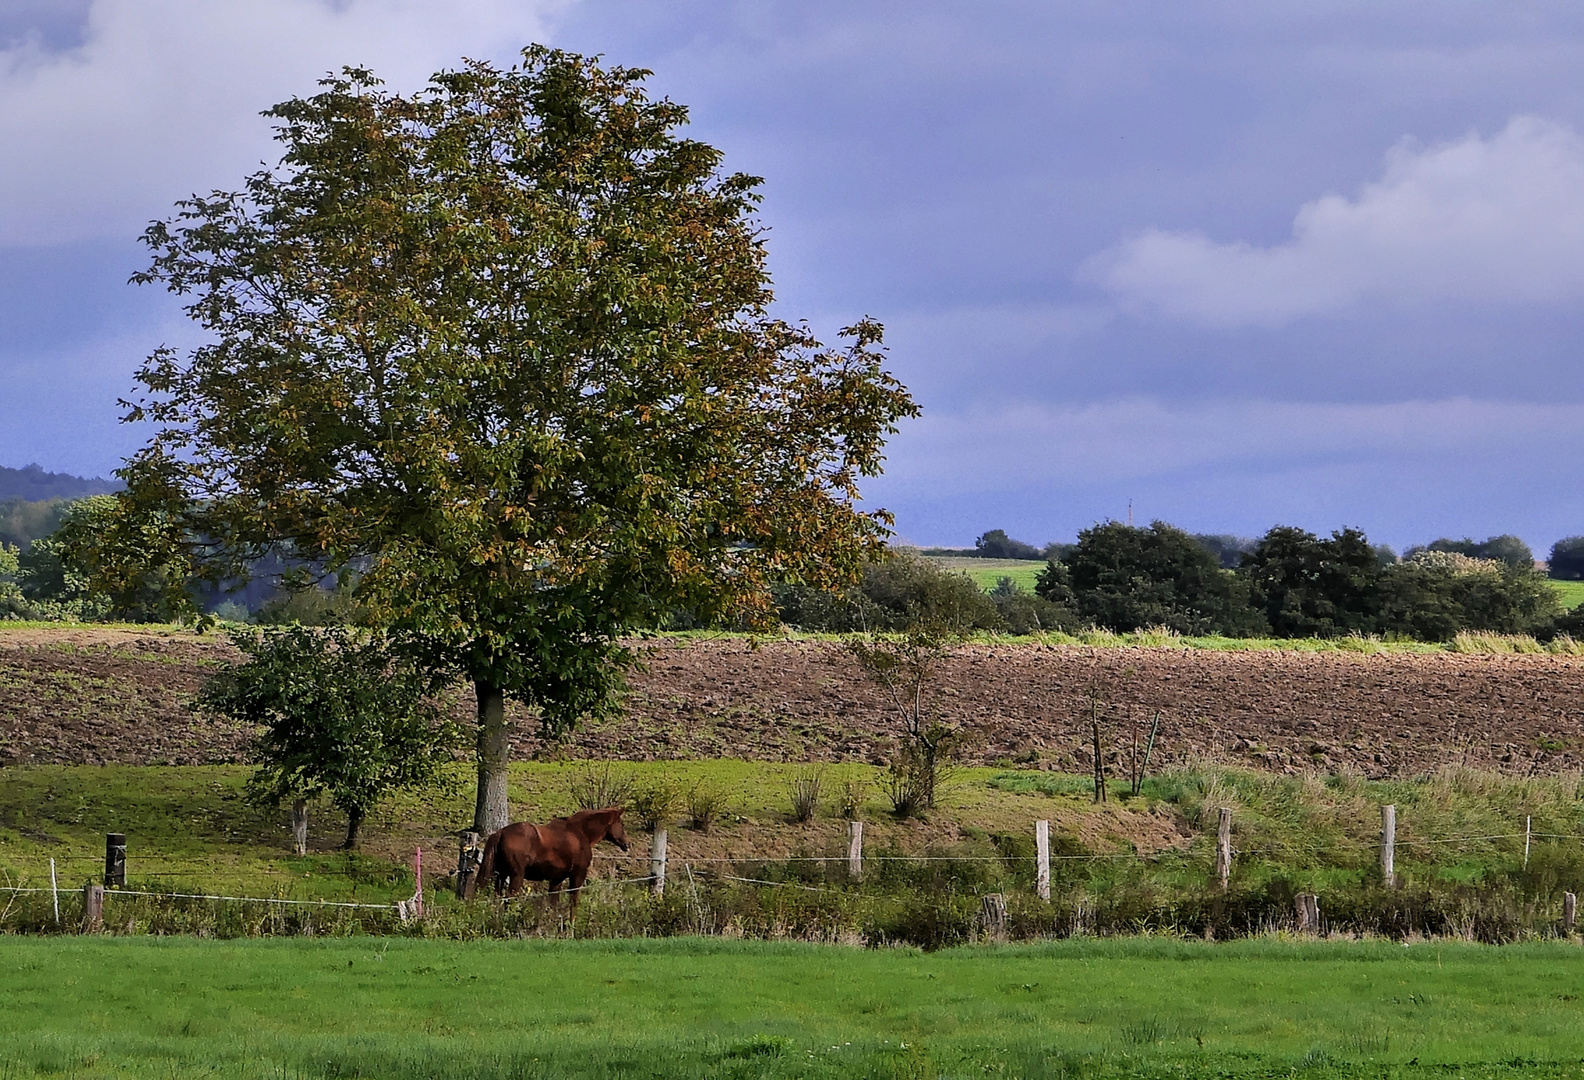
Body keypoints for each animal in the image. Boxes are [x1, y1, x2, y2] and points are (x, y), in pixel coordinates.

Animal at [465, 804, 627, 905]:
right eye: (621, 823)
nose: (627, 844)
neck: (579, 833)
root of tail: (500, 833)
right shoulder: (577, 877)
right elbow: (573, 906)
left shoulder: (556, 880)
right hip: (516, 876)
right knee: (508, 898)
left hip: (501, 875)